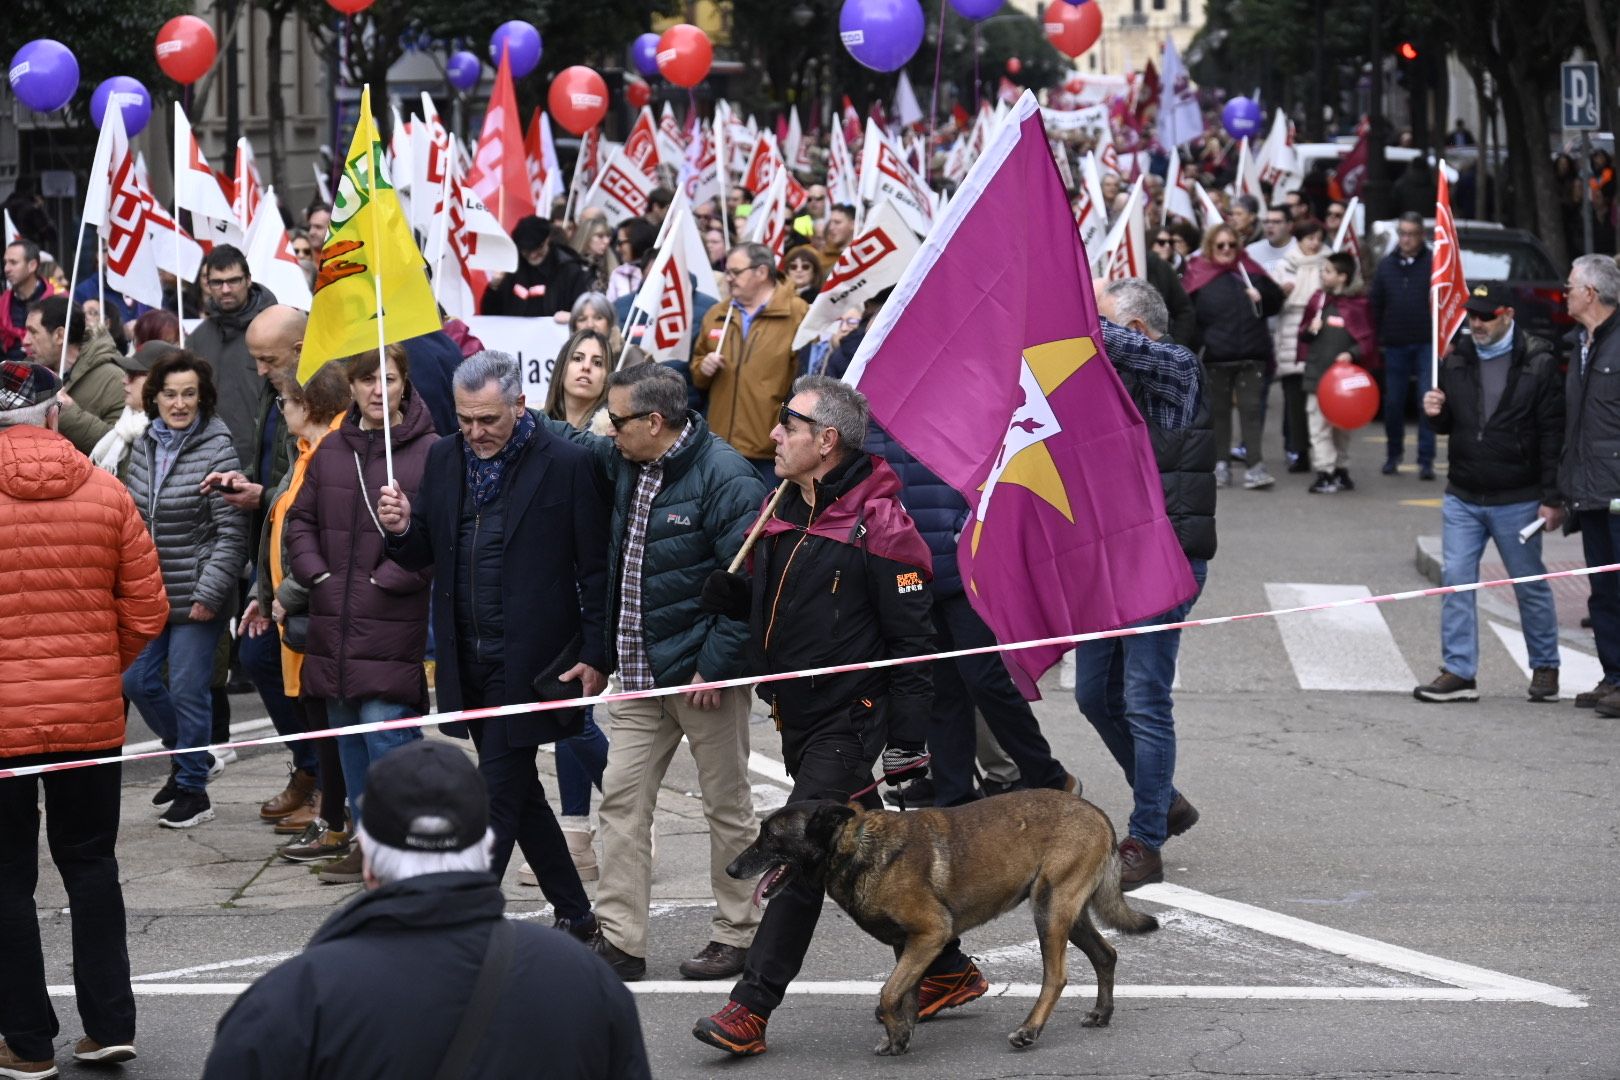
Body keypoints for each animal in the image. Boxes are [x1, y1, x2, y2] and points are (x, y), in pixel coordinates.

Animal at [729, 786, 1159, 1055]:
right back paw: (1102, 1012)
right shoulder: (907, 945)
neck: (857, 846)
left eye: (771, 837)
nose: (731, 869)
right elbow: (904, 995)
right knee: (1106, 954)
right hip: (1068, 914)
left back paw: (1029, 1030)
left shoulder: (931, 934)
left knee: (1057, 976)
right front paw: (901, 1036)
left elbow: (888, 993)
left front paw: (899, 1032)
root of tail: (1097, 813)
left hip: (1049, 911)